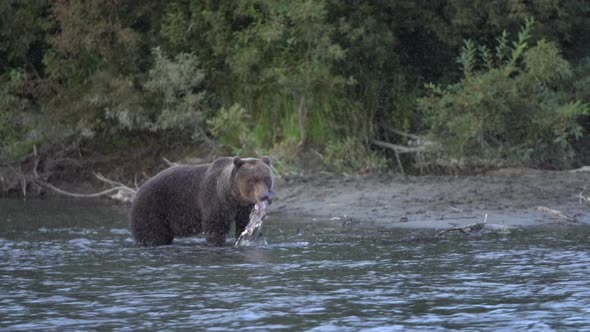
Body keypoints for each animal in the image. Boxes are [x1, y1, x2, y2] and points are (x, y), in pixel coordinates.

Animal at [129, 156, 276, 246]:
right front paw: (217, 242)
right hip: (152, 208)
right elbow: (215, 228)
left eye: (266, 178)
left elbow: (243, 224)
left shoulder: (243, 208)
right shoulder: (213, 199)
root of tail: (137, 191)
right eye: (252, 180)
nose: (264, 196)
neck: (230, 195)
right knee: (152, 234)